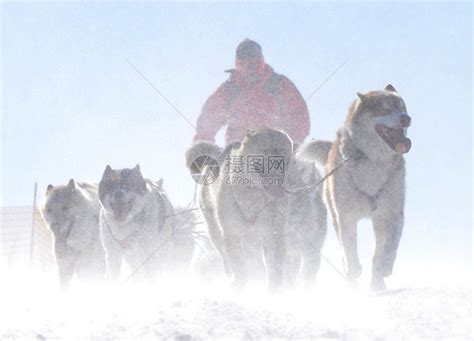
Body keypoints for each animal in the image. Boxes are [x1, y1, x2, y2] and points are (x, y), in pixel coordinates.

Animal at [187, 128, 328, 290]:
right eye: (264, 149)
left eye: (283, 150)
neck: (256, 197)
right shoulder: (233, 233)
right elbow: (239, 265)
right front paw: (239, 284)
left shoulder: (275, 235)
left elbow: (277, 270)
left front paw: (275, 290)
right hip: (218, 232)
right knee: (230, 257)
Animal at [298, 84, 410, 290]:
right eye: (384, 109)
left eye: (402, 107)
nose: (406, 119)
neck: (373, 160)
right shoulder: (345, 216)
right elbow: (349, 249)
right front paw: (354, 270)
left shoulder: (393, 214)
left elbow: (389, 246)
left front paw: (385, 266)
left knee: (378, 251)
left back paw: (378, 283)